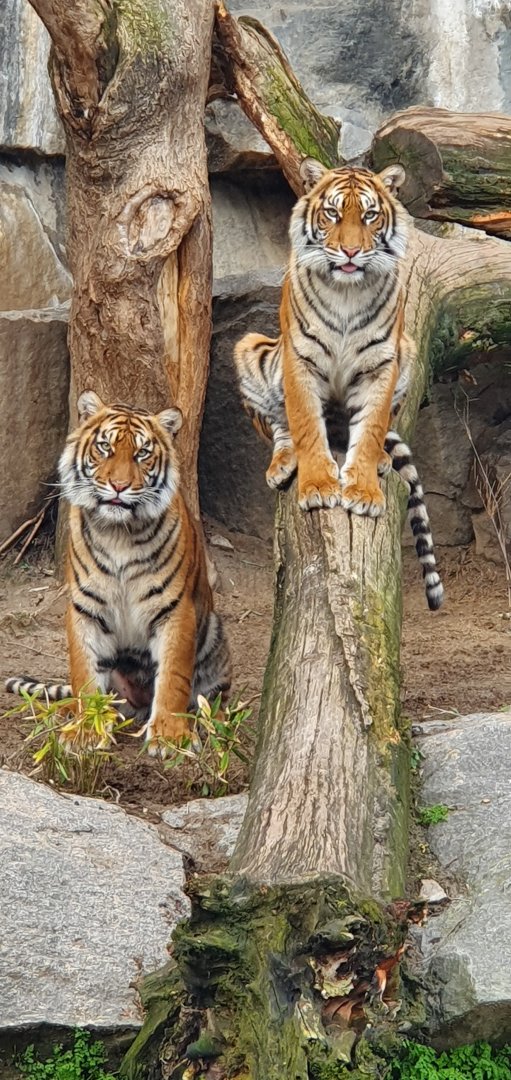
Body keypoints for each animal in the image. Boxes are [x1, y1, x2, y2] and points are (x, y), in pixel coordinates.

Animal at [6, 392, 231, 752]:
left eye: (142, 453)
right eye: (104, 447)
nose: (119, 486)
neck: (118, 534)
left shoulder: (175, 611)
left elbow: (174, 676)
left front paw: (170, 736)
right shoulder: (86, 608)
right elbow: (84, 674)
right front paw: (85, 729)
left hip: (214, 630)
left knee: (214, 698)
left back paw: (213, 723)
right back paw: (69, 712)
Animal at [235, 158, 443, 611]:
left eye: (369, 215)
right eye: (331, 214)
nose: (349, 252)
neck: (347, 291)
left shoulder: (382, 363)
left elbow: (370, 430)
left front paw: (362, 491)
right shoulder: (299, 360)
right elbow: (306, 427)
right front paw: (317, 486)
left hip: (408, 349)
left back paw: (380, 461)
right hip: (250, 348)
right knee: (282, 428)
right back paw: (283, 463)